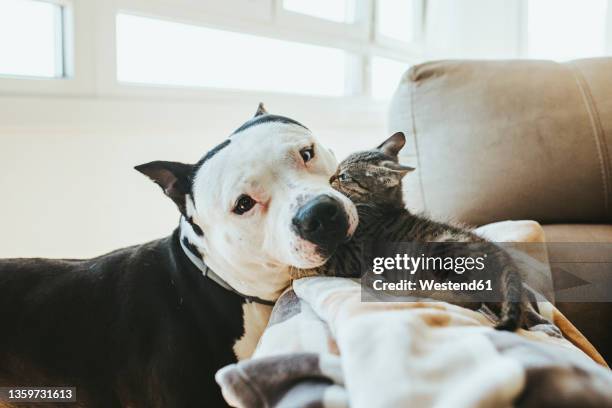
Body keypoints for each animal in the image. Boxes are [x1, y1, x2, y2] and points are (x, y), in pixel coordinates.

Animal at [292, 132, 524, 330]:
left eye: (344, 177)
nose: (330, 178)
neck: (380, 209)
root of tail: (501, 254)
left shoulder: (352, 258)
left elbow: (317, 264)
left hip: (442, 251)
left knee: (469, 300)